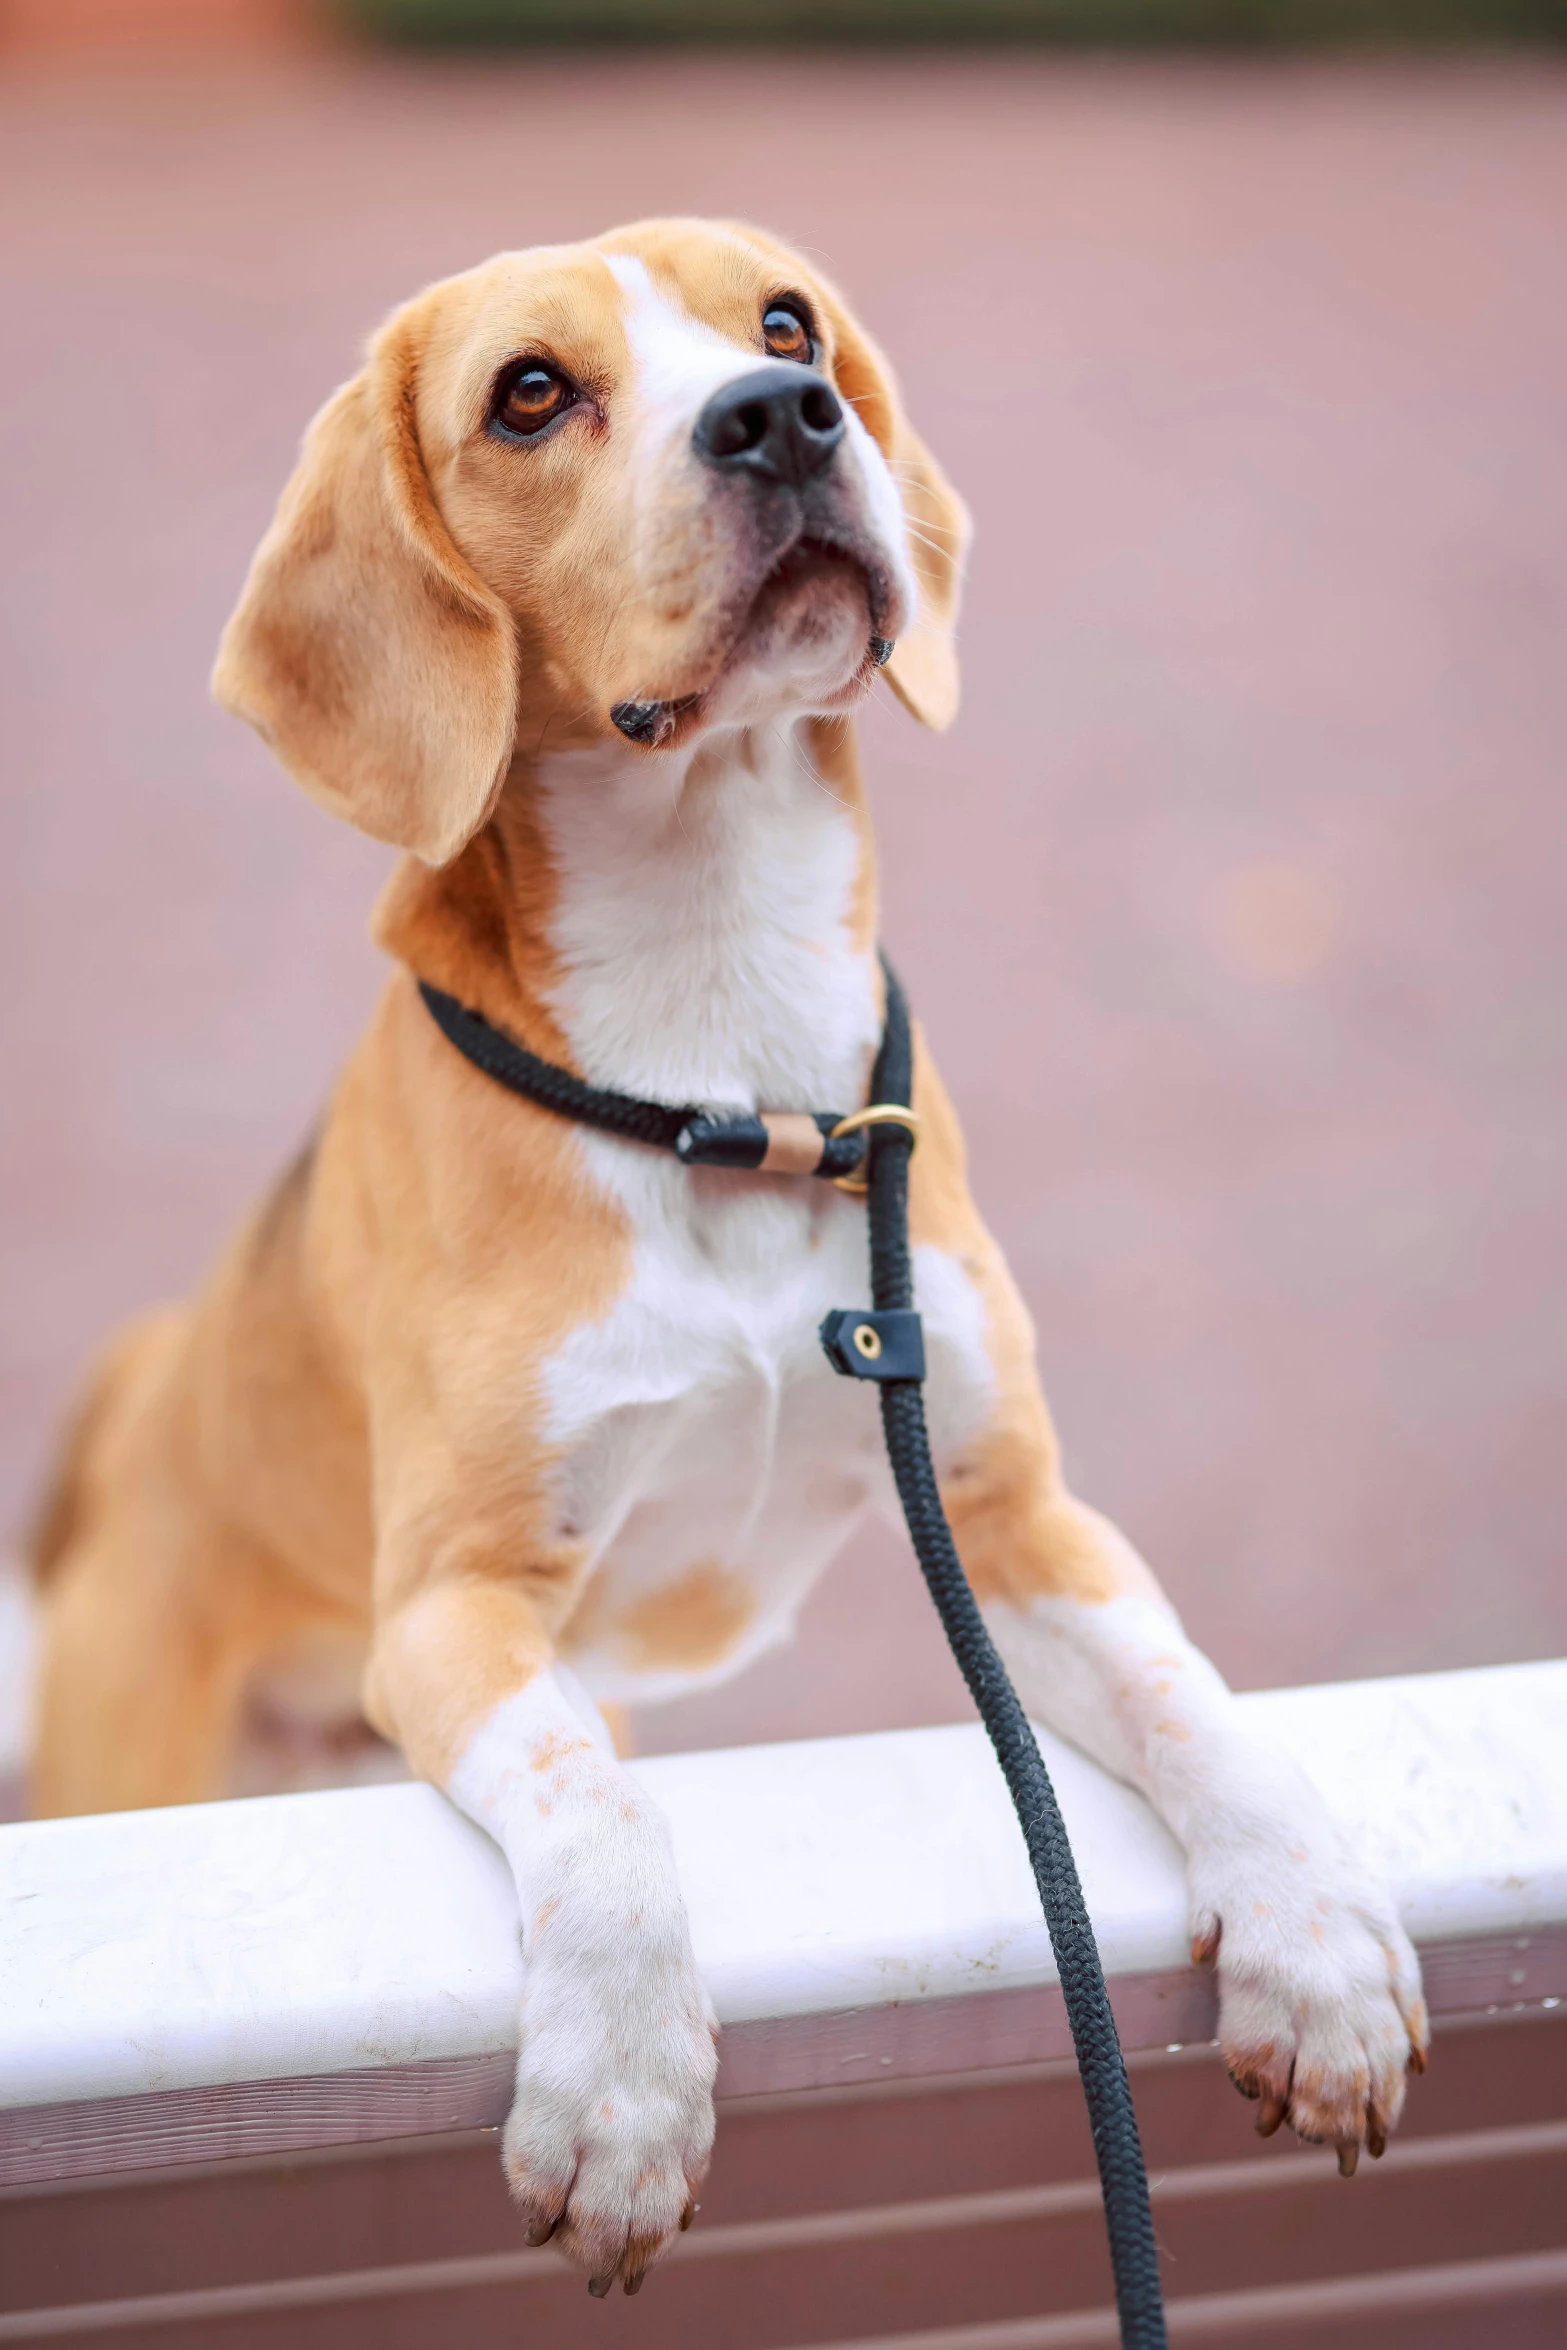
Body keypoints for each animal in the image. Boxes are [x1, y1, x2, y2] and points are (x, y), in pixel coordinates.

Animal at [27, 216, 1418, 2293]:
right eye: (530, 391)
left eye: (782, 321)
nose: (780, 416)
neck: (722, 1053)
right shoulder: (457, 1610)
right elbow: (600, 1812)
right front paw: (618, 2095)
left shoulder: (1010, 1519)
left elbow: (1200, 1703)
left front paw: (1314, 1948)